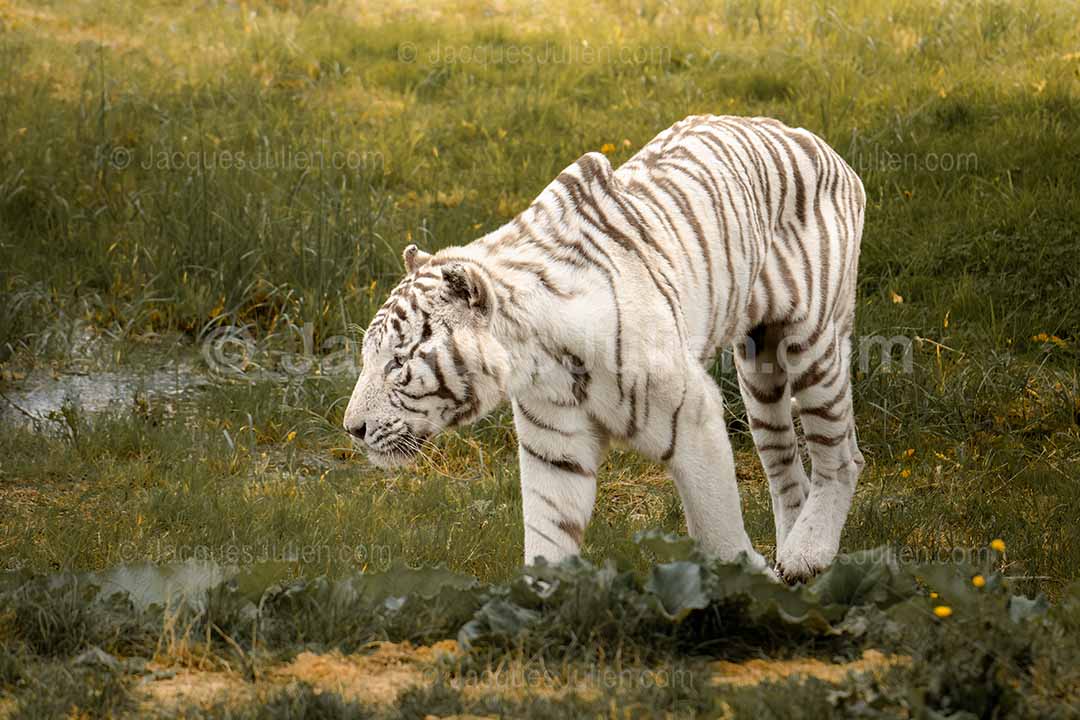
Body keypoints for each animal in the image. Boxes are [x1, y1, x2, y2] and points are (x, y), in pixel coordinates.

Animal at [343, 114, 865, 582]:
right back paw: (794, 553)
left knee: (840, 457)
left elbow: (715, 521)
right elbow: (547, 537)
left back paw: (807, 554)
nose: (352, 429)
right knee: (786, 467)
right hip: (758, 367)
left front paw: (748, 584)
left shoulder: (692, 417)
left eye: (398, 362)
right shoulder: (554, 447)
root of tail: (822, 144)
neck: (538, 356)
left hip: (812, 345)